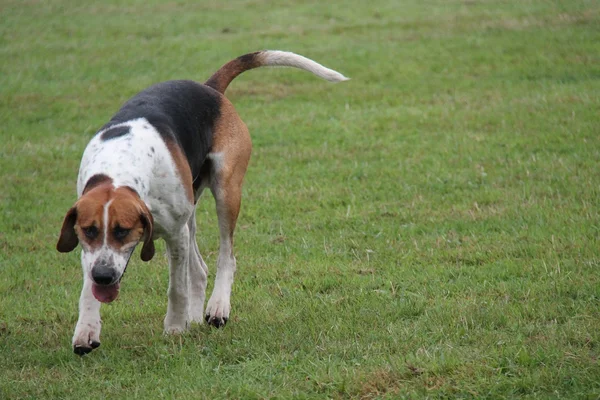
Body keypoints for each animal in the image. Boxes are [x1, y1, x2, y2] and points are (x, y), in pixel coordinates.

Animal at [57, 50, 346, 354]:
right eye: (88, 231)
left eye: (122, 231)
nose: (103, 276)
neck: (119, 169)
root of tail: (209, 88)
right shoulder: (93, 244)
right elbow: (88, 289)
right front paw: (86, 330)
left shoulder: (175, 233)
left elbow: (176, 288)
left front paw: (174, 328)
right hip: (191, 212)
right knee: (199, 269)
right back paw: (194, 317)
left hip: (225, 192)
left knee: (226, 257)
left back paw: (217, 307)